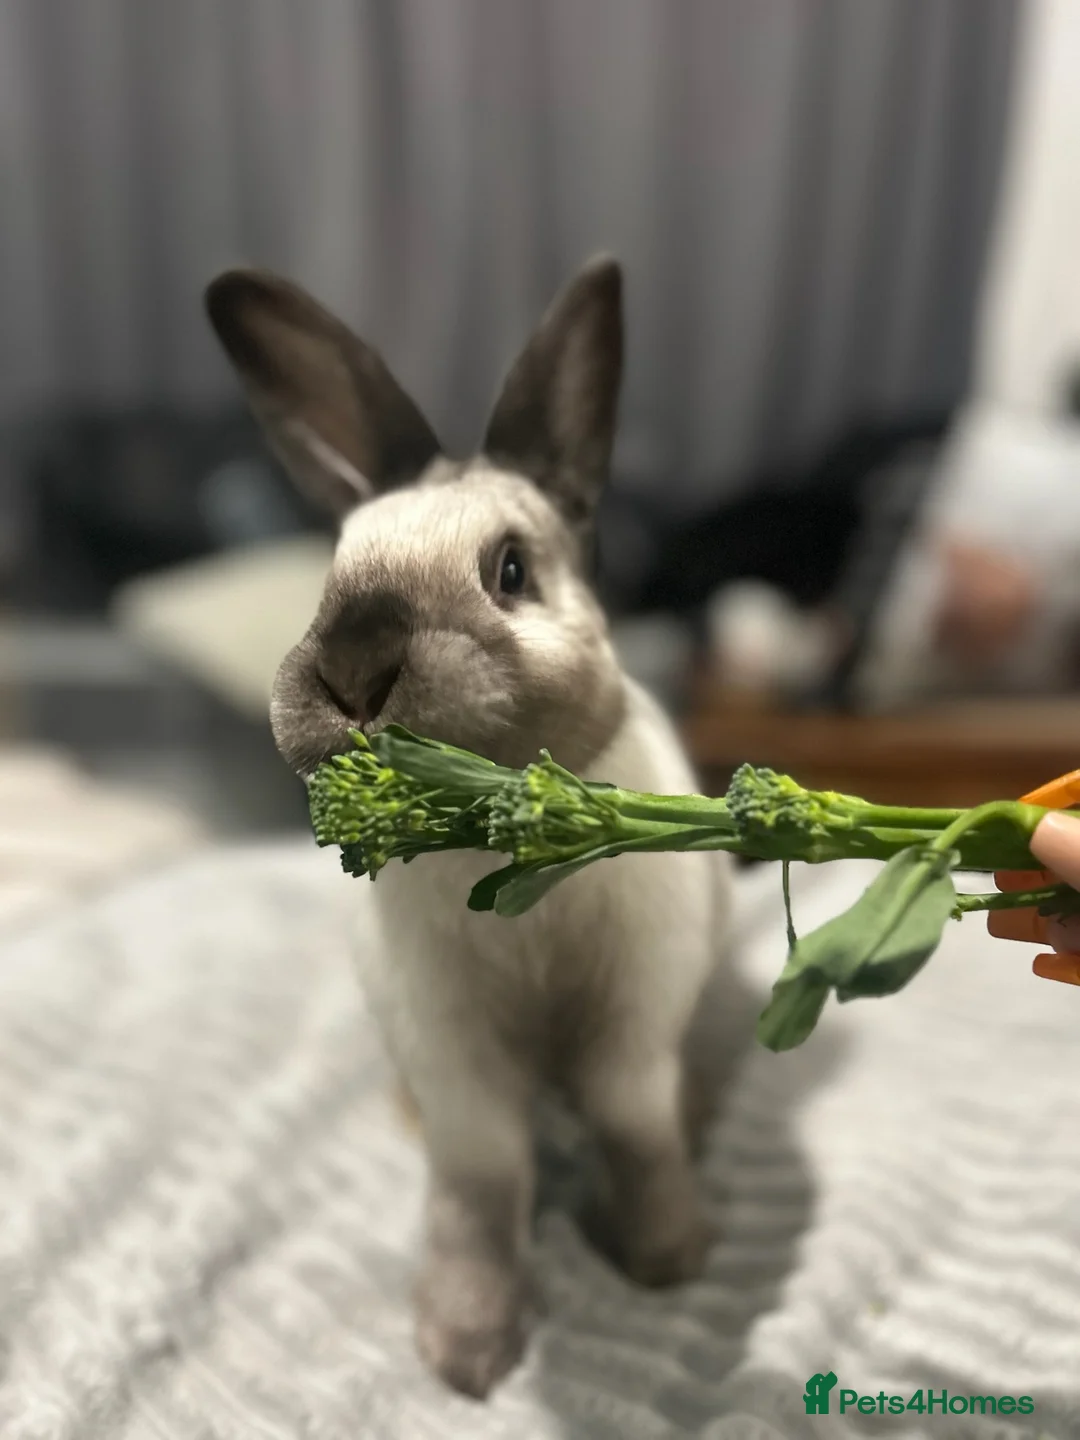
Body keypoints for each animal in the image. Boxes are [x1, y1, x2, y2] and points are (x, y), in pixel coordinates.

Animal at [204, 256, 734, 1400]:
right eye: (333, 572)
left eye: (511, 571)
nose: (354, 665)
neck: (503, 839)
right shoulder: (450, 1057)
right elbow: (482, 1176)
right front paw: (462, 1350)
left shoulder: (633, 1018)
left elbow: (632, 1122)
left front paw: (669, 1259)